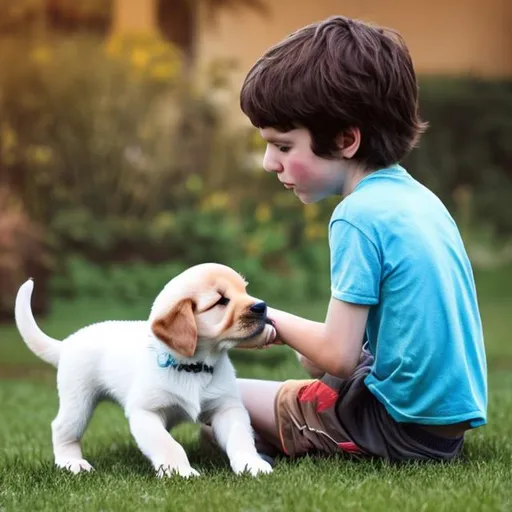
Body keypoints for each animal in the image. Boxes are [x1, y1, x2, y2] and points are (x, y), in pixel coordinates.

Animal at [14, 262, 276, 478]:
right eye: (221, 300)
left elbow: (240, 439)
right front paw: (179, 470)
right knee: (62, 429)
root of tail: (66, 343)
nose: (262, 306)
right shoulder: (145, 412)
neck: (193, 367)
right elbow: (168, 444)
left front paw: (252, 464)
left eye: (245, 290)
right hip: (78, 402)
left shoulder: (227, 408)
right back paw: (71, 463)